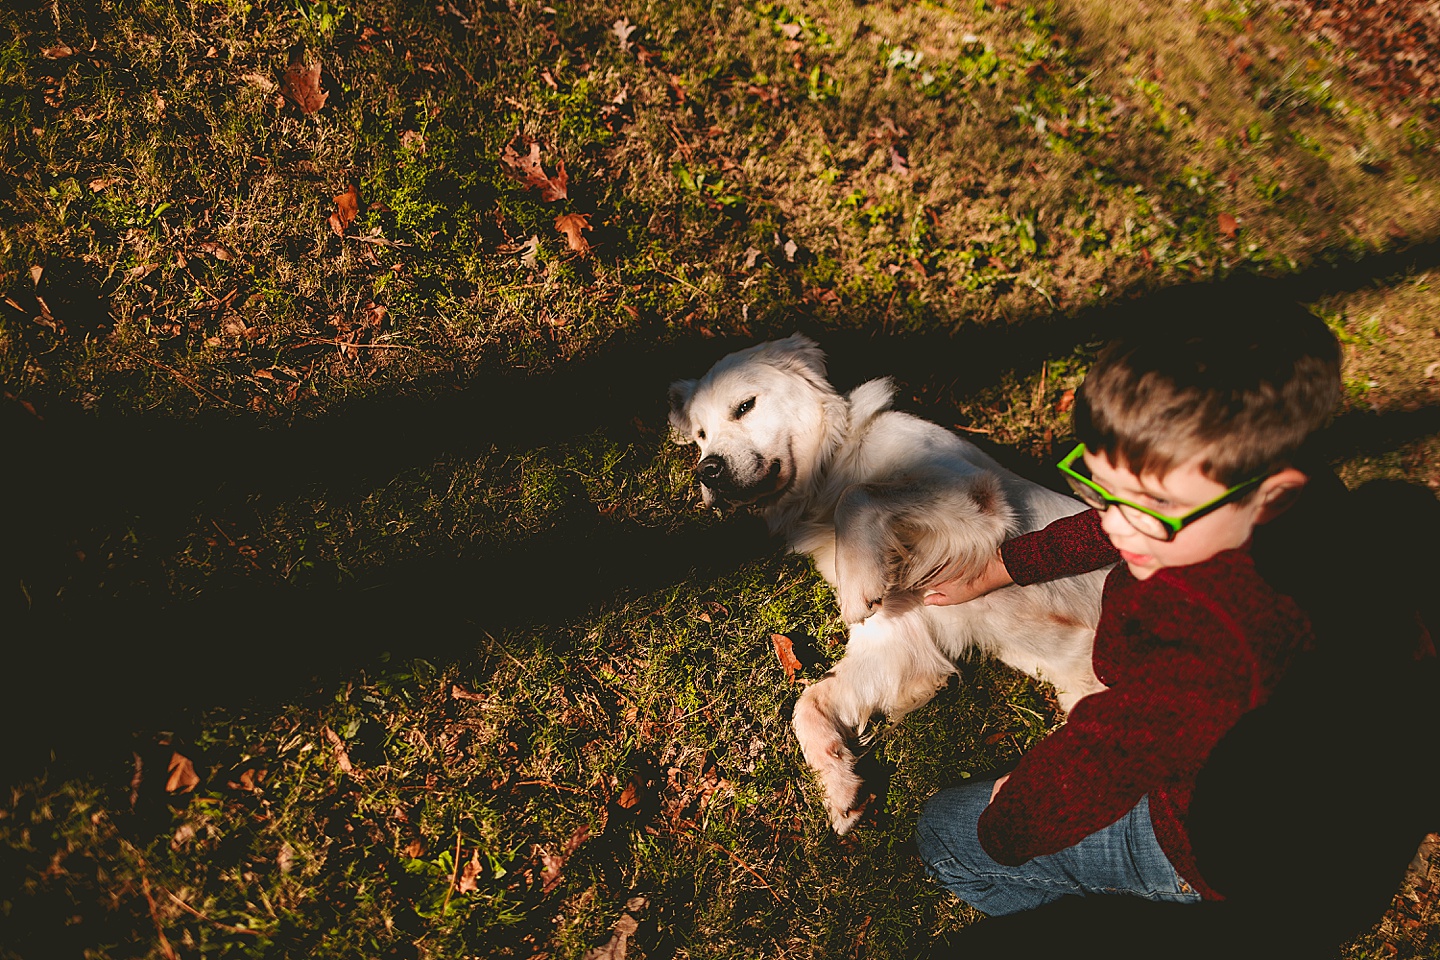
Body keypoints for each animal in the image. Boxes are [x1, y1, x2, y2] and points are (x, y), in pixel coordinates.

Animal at [668, 336, 1105, 834]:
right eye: (700, 435)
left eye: (744, 406)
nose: (707, 470)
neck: (827, 477)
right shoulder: (899, 635)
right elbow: (808, 703)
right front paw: (838, 784)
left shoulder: (975, 497)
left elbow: (861, 495)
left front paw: (857, 584)